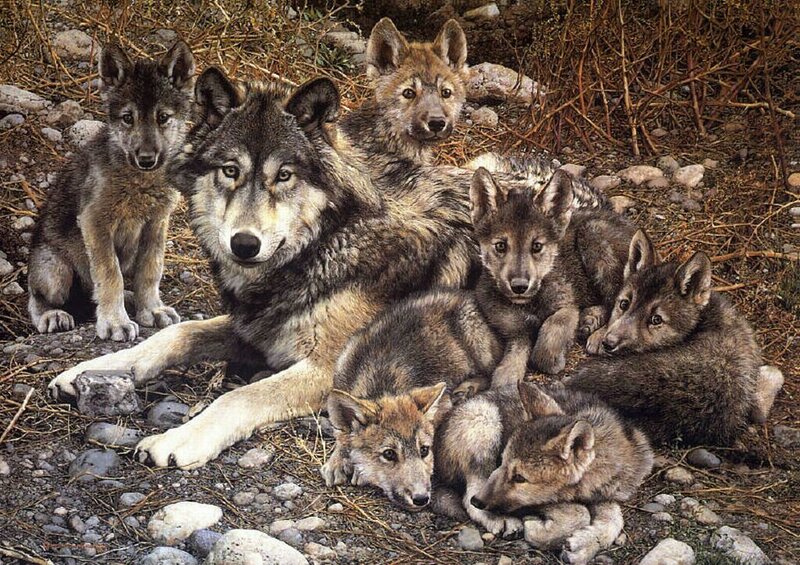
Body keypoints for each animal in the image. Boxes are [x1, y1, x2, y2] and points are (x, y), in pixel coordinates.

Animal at [27, 41, 195, 341]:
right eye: (128, 118)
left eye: (163, 117)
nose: (146, 159)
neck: (139, 182)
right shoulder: (95, 222)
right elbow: (109, 275)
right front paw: (115, 322)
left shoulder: (156, 223)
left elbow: (150, 271)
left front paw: (151, 309)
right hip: (54, 271)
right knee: (37, 299)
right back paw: (53, 315)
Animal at [47, 68, 477, 469]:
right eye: (230, 171)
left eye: (283, 176)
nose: (244, 244)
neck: (328, 242)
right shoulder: (255, 327)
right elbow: (173, 335)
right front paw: (89, 371)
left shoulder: (329, 371)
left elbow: (238, 396)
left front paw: (179, 438)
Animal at [320, 289, 502, 511]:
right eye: (389, 454)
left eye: (424, 450)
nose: (421, 498)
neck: (381, 381)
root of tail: (467, 294)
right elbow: (342, 435)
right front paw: (336, 461)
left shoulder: (442, 405)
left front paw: (357, 471)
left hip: (476, 341)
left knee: (490, 372)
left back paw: (466, 389)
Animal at [435, 382, 653, 563]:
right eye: (501, 461)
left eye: (519, 478)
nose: (478, 502)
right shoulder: (541, 500)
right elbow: (580, 513)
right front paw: (539, 532)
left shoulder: (605, 495)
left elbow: (614, 521)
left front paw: (585, 545)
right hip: (484, 422)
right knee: (467, 497)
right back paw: (499, 519)